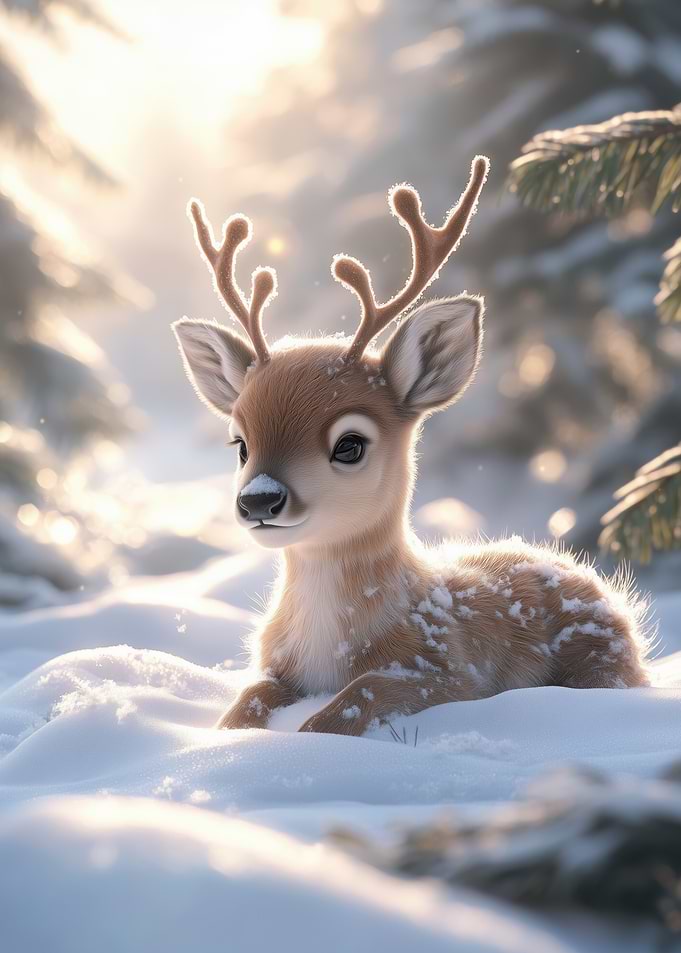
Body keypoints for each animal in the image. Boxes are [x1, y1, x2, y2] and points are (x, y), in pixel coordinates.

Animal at [173, 155, 651, 737]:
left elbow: (346, 706)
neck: (329, 644)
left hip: (600, 658)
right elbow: (241, 708)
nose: (259, 499)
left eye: (350, 445)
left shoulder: (444, 670)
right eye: (240, 444)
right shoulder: (273, 666)